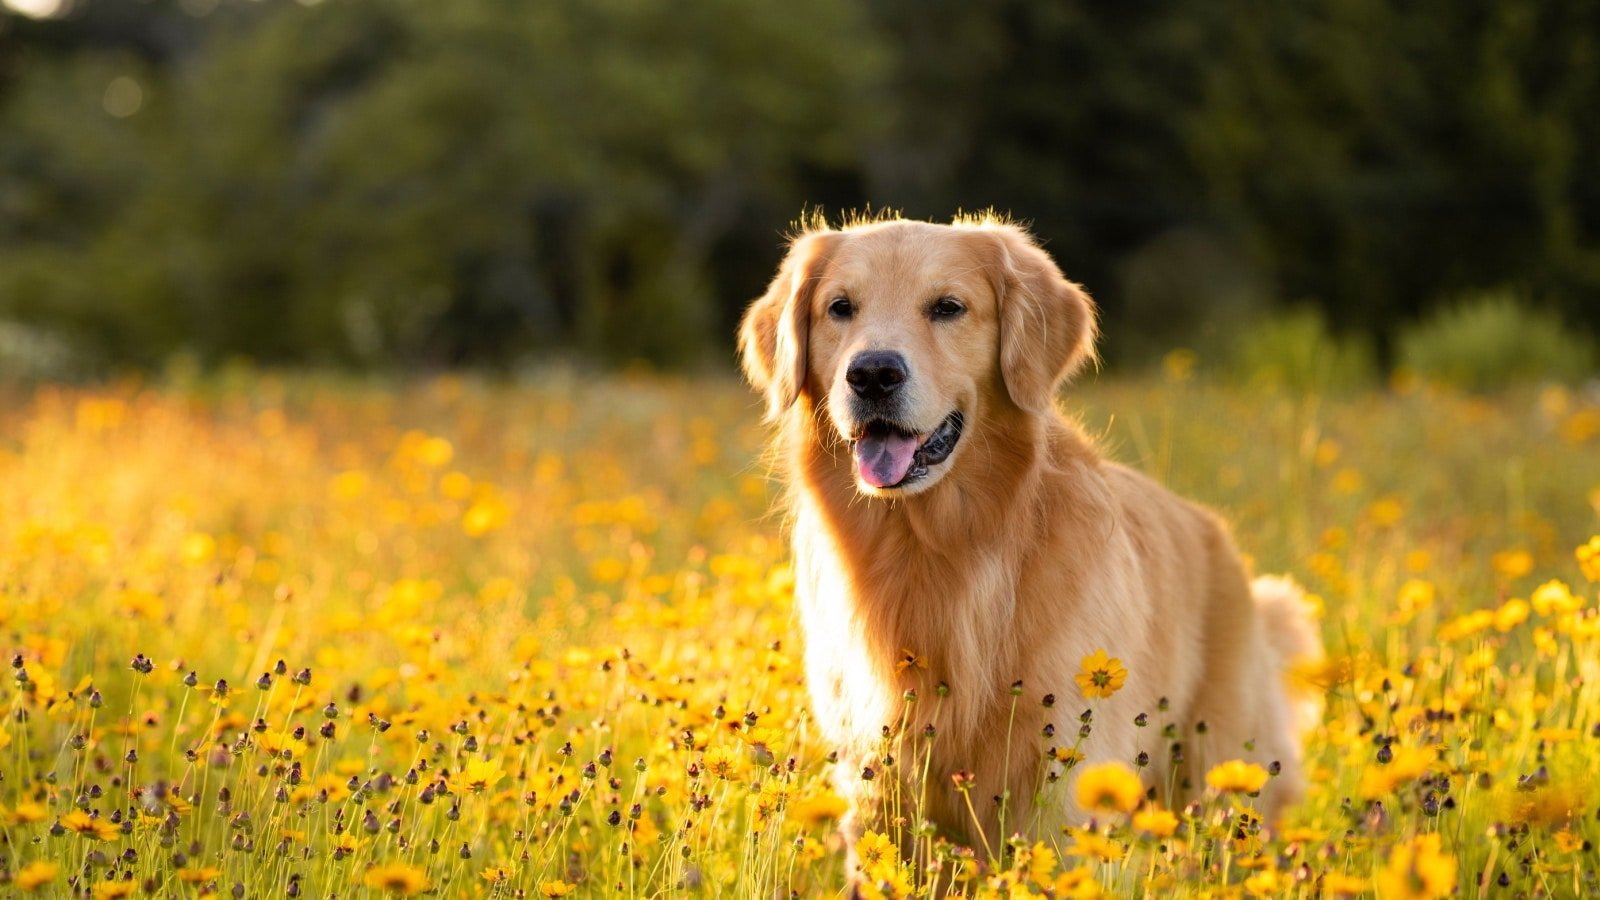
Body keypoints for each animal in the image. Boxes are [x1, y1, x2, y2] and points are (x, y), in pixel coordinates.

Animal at [742, 211, 1318, 864]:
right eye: (840, 307)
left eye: (948, 307)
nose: (872, 374)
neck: (938, 550)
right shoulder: (876, 780)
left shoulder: (1062, 777)